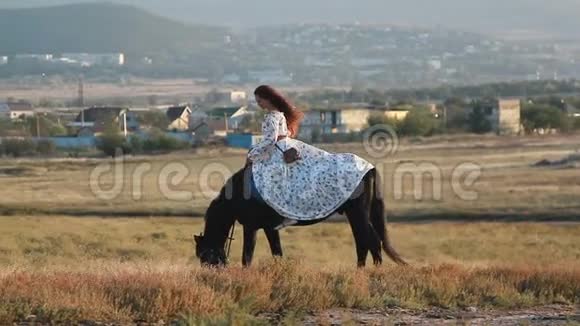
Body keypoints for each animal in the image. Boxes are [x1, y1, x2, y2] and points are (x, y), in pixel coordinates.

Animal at [193, 166, 406, 268]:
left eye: (203, 255)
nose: (211, 272)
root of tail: (370, 169)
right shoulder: (270, 228)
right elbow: (277, 253)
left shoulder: (251, 227)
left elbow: (247, 256)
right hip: (355, 214)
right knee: (365, 242)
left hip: (358, 213)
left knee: (370, 241)